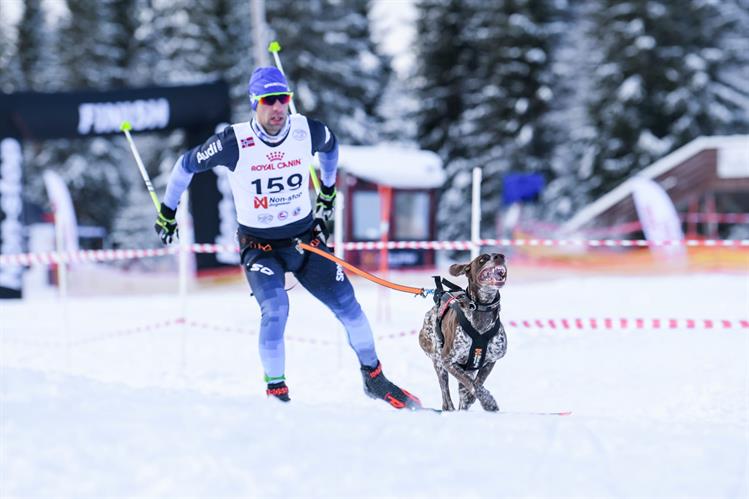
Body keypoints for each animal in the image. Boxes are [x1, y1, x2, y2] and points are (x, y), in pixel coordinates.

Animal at [418, 256, 506, 412]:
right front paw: (488, 402)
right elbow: (472, 384)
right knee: (446, 397)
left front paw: (472, 398)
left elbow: (477, 383)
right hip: (439, 363)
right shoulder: (448, 361)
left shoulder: (491, 360)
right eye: (483, 259)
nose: (500, 257)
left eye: (499, 255)